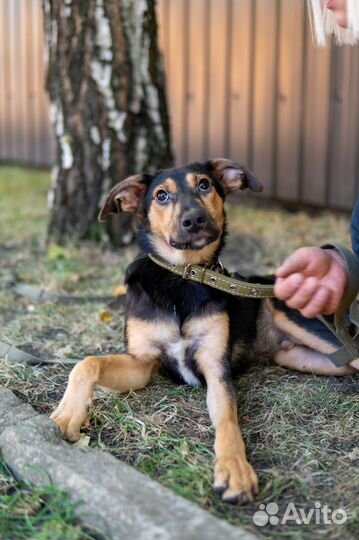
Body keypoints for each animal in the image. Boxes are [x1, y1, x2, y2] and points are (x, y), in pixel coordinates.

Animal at [50, 158, 358, 504]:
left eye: (204, 185)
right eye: (161, 195)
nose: (194, 219)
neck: (184, 277)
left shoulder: (215, 366)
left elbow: (227, 419)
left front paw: (235, 469)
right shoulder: (142, 363)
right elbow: (87, 363)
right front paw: (67, 415)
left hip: (295, 318)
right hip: (308, 358)